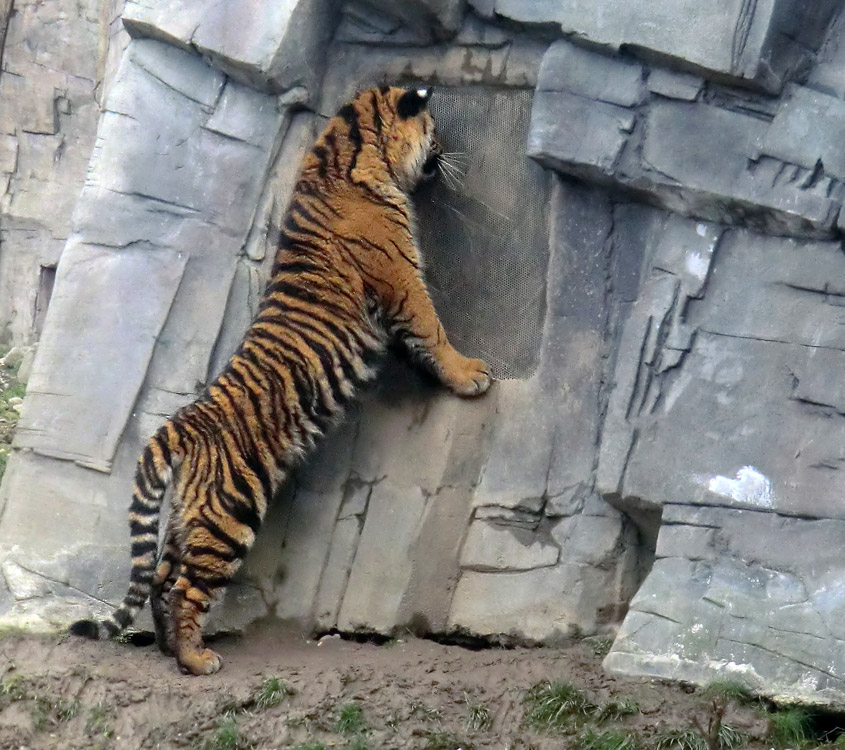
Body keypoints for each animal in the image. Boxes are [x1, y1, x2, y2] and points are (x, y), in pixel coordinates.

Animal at [72, 85, 494, 680]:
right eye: (434, 130)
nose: (445, 155)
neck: (345, 150)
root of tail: (181, 425)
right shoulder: (402, 279)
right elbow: (433, 329)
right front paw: (471, 375)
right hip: (228, 513)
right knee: (184, 588)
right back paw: (198, 659)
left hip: (188, 515)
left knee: (159, 577)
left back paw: (168, 650)